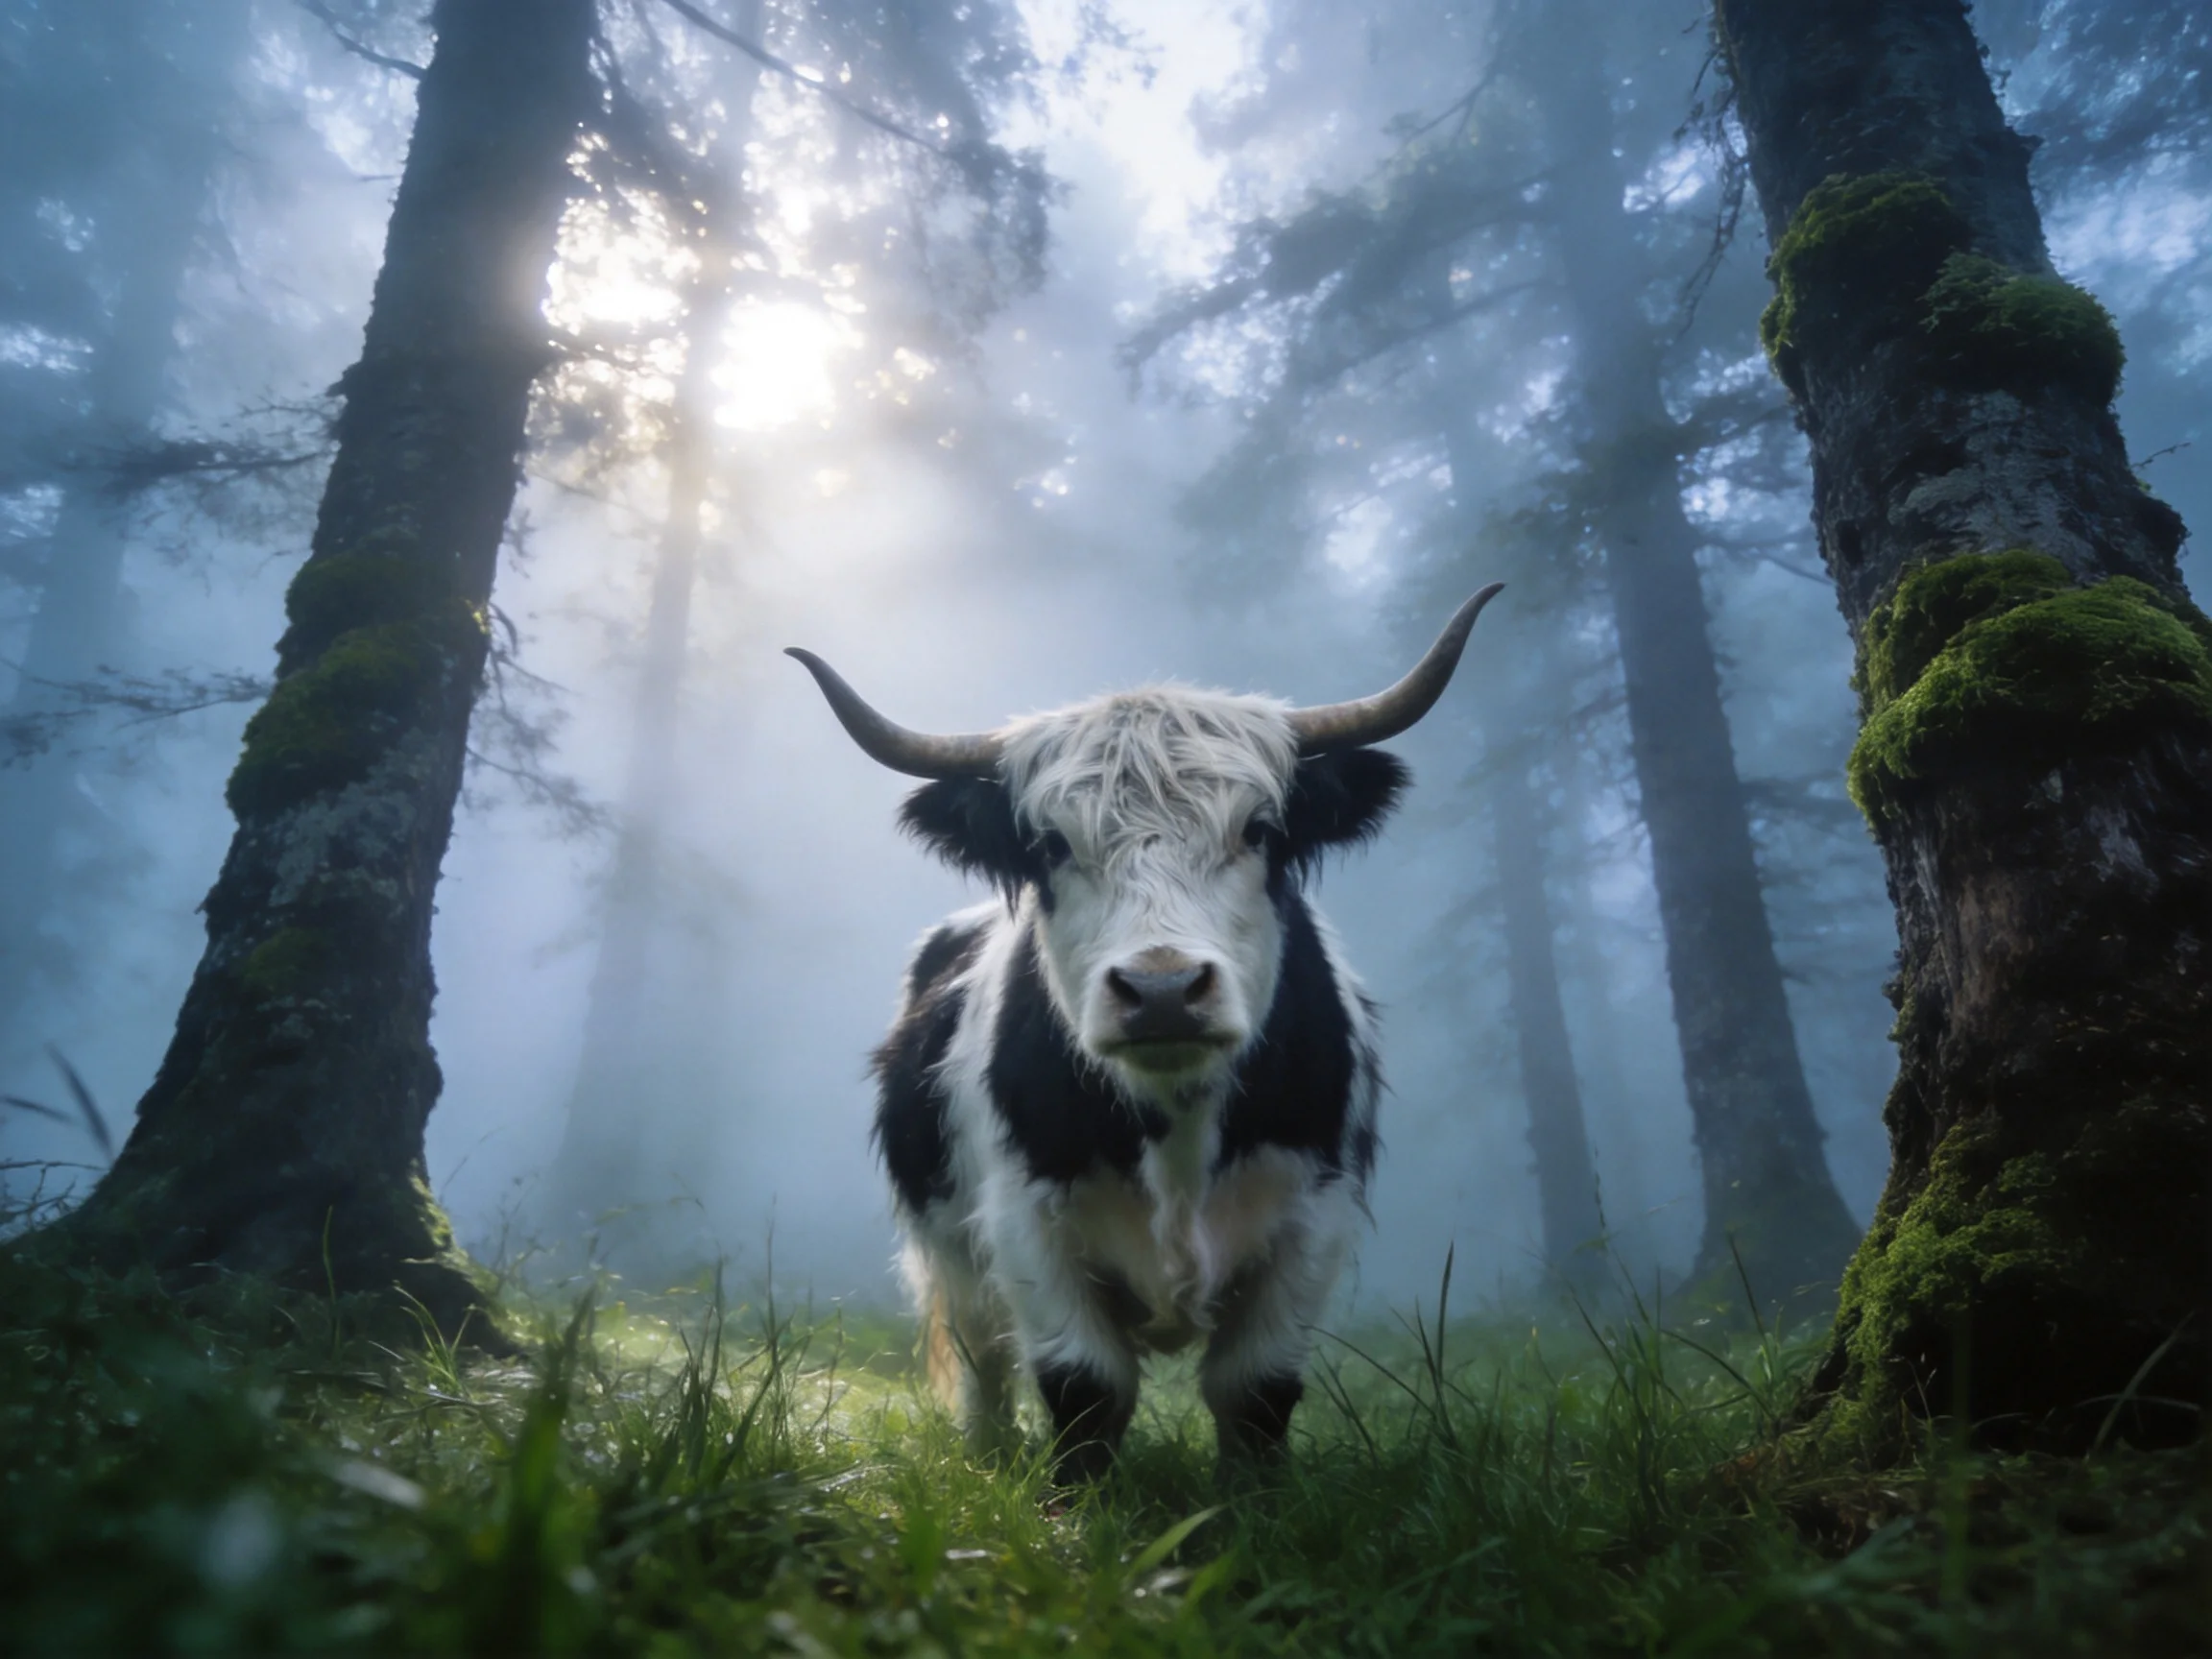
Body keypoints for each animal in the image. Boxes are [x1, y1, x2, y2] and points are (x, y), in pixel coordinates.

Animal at [787, 586, 1501, 1480]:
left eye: (1258, 830)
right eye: (1052, 842)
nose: (1162, 989)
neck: (1176, 1125)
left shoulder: (1313, 1221)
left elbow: (1256, 1389)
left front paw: (1253, 1501)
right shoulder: (1025, 1226)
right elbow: (1083, 1386)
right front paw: (1075, 1504)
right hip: (947, 1253)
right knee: (983, 1361)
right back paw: (988, 1459)